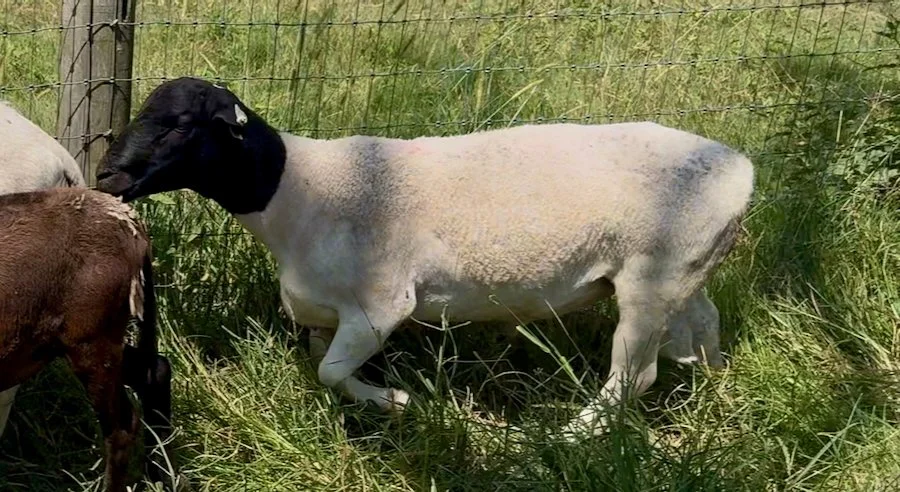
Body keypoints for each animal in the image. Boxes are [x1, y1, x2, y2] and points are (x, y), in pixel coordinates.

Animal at [0, 187, 172, 491]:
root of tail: (130, 222)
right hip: (75, 342)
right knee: (155, 372)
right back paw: (162, 476)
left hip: (92, 344)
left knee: (122, 427)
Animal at [95, 77, 753, 437]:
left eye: (180, 125)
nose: (106, 175)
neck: (298, 189)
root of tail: (740, 169)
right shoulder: (323, 315)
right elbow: (322, 368)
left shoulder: (381, 306)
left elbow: (332, 372)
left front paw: (401, 403)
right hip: (684, 273)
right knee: (703, 326)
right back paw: (717, 390)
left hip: (652, 277)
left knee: (633, 377)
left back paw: (566, 438)